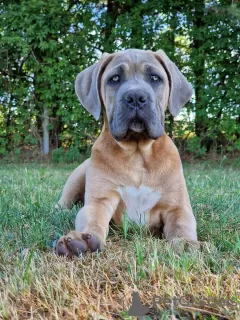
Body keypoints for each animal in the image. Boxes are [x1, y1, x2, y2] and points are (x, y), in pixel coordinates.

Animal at [54, 48, 199, 258]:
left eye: (155, 78)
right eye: (114, 79)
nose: (136, 97)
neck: (137, 154)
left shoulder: (177, 207)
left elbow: (181, 225)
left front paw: (186, 242)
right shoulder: (99, 201)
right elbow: (92, 220)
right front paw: (82, 240)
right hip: (78, 174)